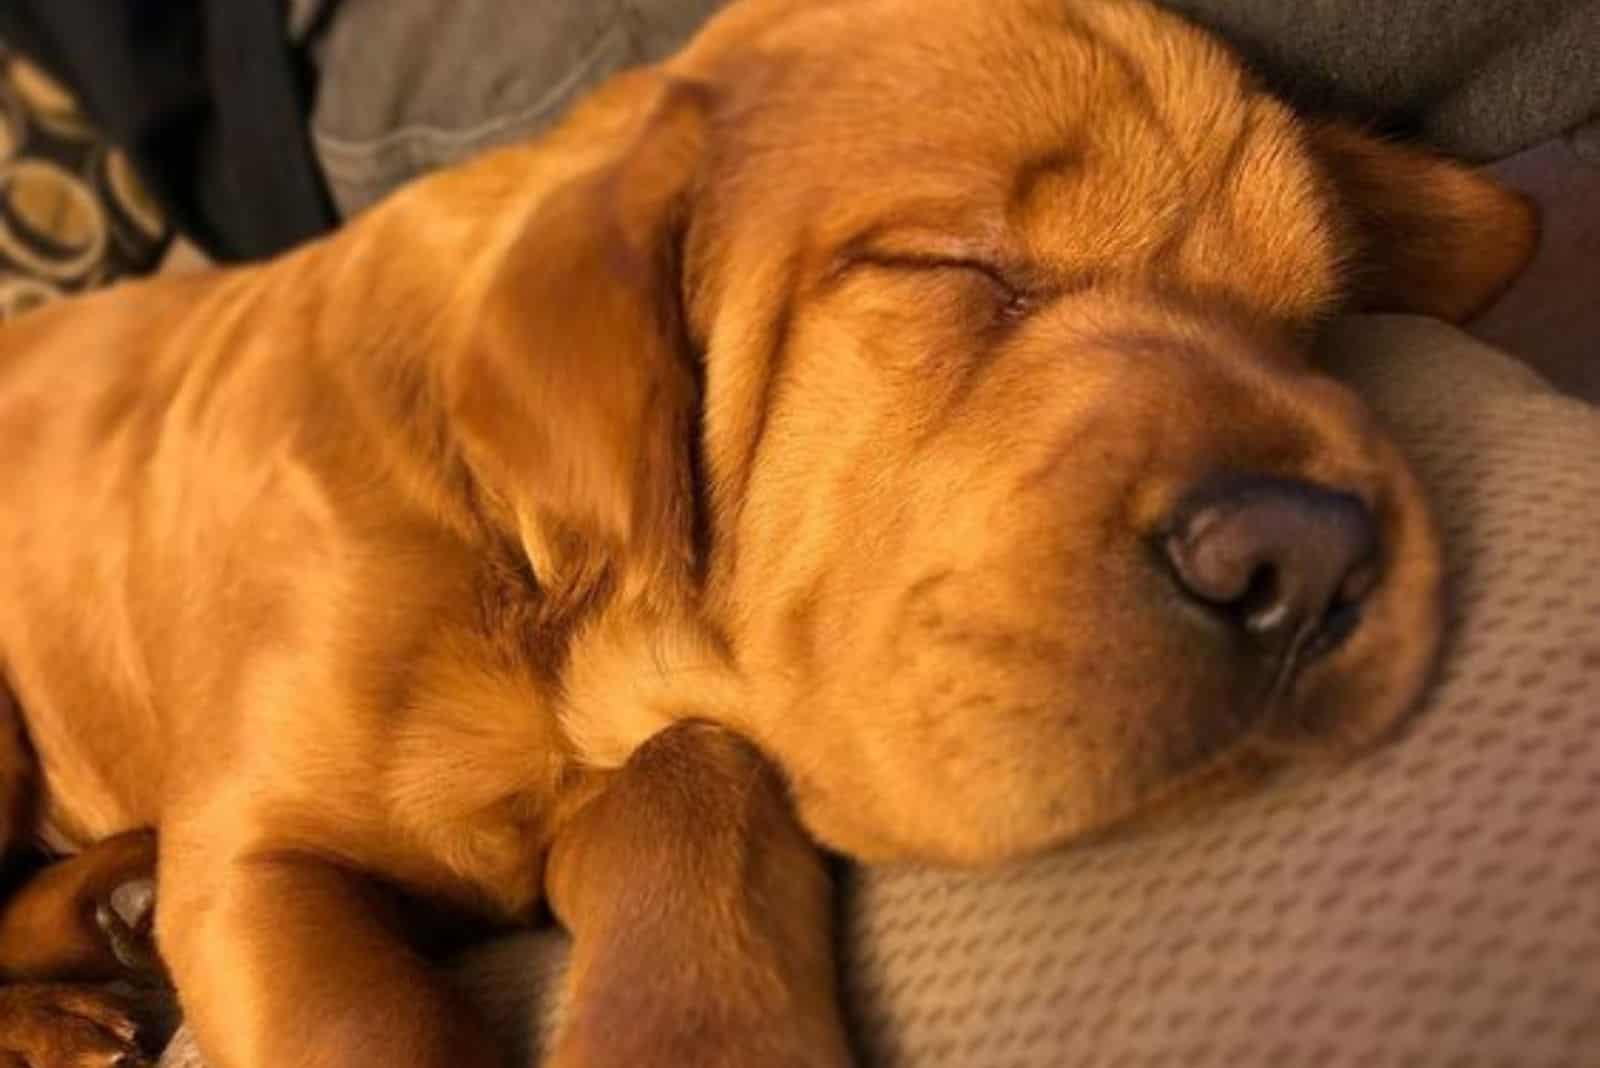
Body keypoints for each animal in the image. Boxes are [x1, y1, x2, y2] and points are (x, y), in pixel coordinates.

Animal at [0, 2, 1536, 1068]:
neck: (560, 609)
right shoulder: (254, 856)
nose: (1307, 557)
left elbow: (698, 783)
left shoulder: (655, 754)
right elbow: (367, 1023)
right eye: (956, 267)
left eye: (1309, 327)